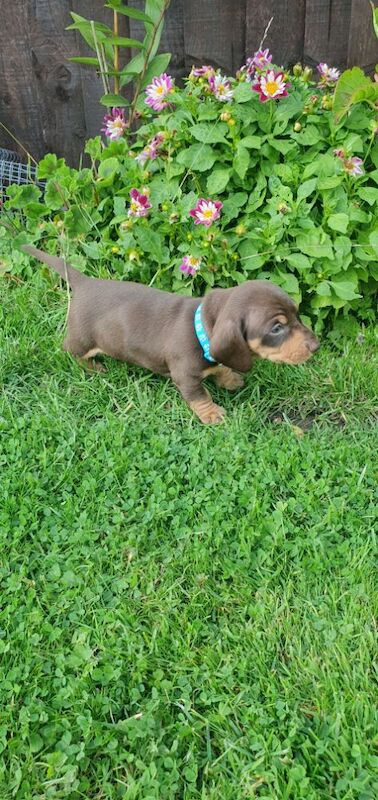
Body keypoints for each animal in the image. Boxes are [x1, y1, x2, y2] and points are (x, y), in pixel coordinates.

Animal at [22, 245, 320, 424]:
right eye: (277, 328)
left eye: (297, 314)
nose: (316, 346)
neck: (200, 330)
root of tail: (85, 282)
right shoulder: (185, 376)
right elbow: (200, 397)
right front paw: (212, 414)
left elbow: (221, 367)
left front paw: (229, 378)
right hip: (81, 340)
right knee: (72, 352)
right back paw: (93, 367)